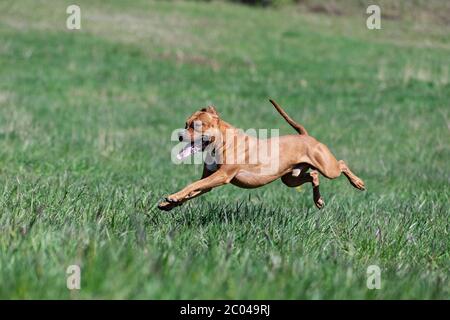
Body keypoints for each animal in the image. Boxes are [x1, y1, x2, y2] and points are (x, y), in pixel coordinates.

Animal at [158, 99, 366, 211]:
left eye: (196, 126)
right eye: (186, 124)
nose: (179, 135)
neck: (222, 142)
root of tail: (305, 136)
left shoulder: (222, 176)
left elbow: (192, 185)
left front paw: (173, 198)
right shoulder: (210, 179)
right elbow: (194, 190)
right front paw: (170, 204)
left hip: (328, 168)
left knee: (341, 164)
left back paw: (357, 183)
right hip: (290, 178)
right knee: (313, 175)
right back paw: (318, 200)